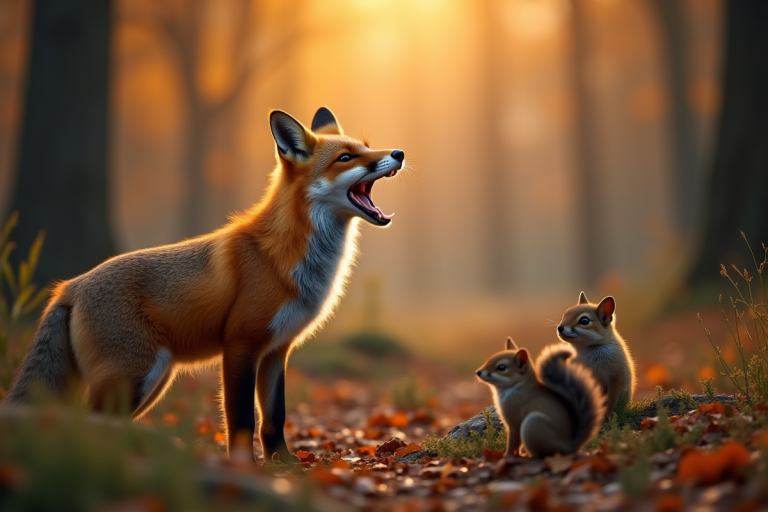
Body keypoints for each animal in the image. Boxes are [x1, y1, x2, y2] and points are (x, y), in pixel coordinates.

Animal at [2, 107, 405, 463]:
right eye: (346, 157)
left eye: (367, 147)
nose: (399, 153)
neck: (288, 257)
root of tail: (69, 286)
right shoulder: (240, 345)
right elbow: (242, 419)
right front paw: (244, 468)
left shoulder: (277, 350)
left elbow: (274, 418)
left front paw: (286, 465)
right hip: (136, 375)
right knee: (85, 423)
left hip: (151, 380)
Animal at [476, 338, 605, 457]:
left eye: (501, 367)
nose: (478, 372)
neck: (517, 387)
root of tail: (569, 447)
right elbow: (517, 445)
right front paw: (516, 454)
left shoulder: (514, 423)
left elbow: (512, 443)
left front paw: (506, 456)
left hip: (532, 425)